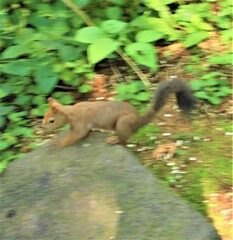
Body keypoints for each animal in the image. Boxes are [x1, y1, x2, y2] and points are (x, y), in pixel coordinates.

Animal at [41, 79, 195, 148]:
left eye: (51, 120)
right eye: (44, 116)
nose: (43, 127)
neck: (71, 112)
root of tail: (139, 120)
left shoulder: (80, 123)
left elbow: (78, 135)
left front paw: (59, 143)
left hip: (123, 123)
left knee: (125, 140)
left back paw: (114, 139)